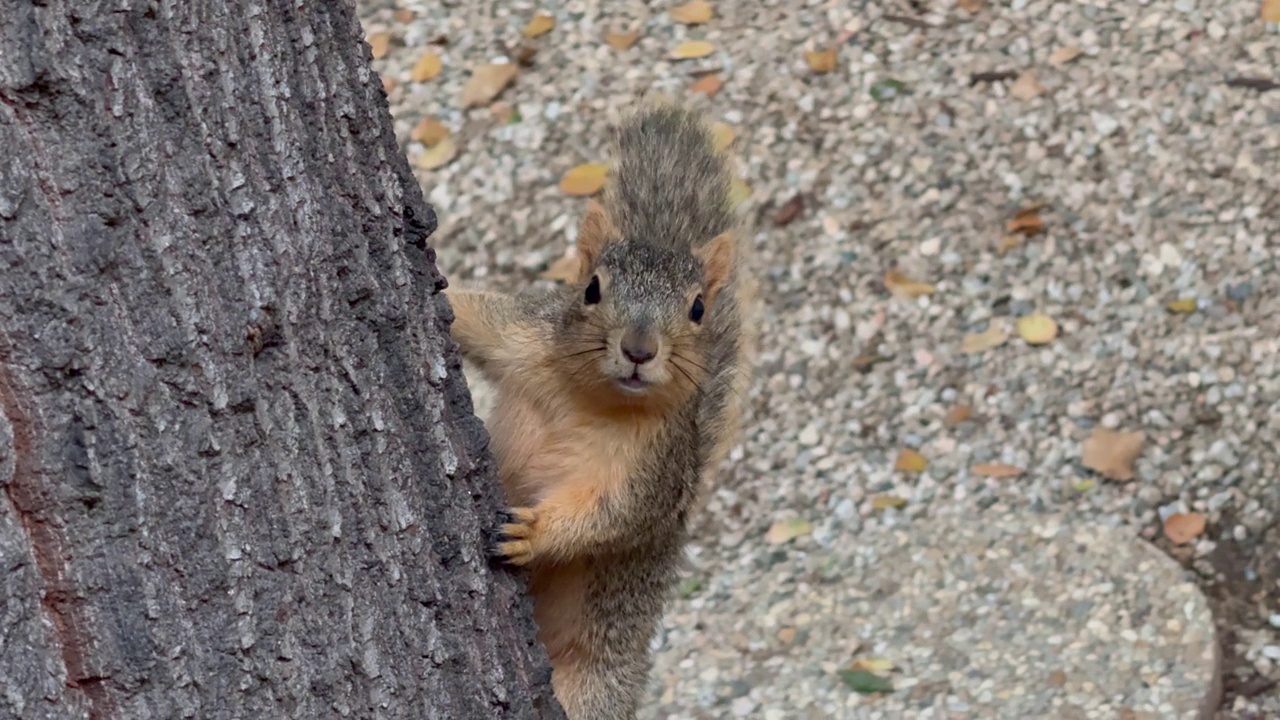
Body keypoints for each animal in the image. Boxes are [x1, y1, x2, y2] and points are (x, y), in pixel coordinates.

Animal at [445, 102, 752, 717]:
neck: (592, 399)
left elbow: (611, 515)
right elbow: (477, 318)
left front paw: (533, 533)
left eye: (698, 308)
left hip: (596, 687)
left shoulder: (654, 469)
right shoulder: (522, 339)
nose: (638, 350)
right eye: (591, 289)